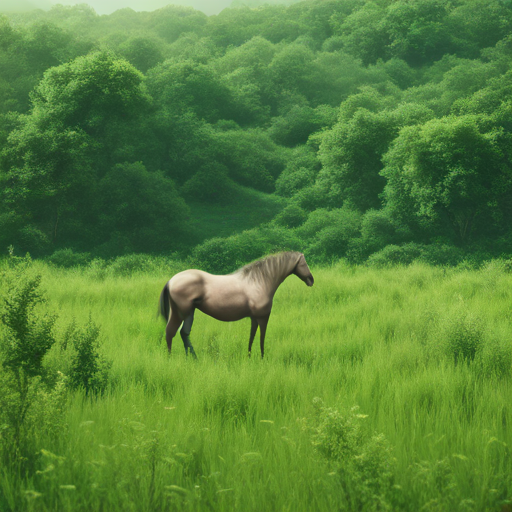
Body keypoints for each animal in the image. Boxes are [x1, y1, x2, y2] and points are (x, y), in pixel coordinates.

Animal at [158, 251, 314, 356]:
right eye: (304, 263)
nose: (311, 280)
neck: (259, 282)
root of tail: (171, 280)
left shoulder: (254, 318)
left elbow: (251, 337)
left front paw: (249, 357)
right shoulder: (263, 317)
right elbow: (261, 338)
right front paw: (262, 358)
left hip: (189, 313)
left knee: (184, 333)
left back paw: (193, 358)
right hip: (180, 313)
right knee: (170, 332)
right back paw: (171, 358)